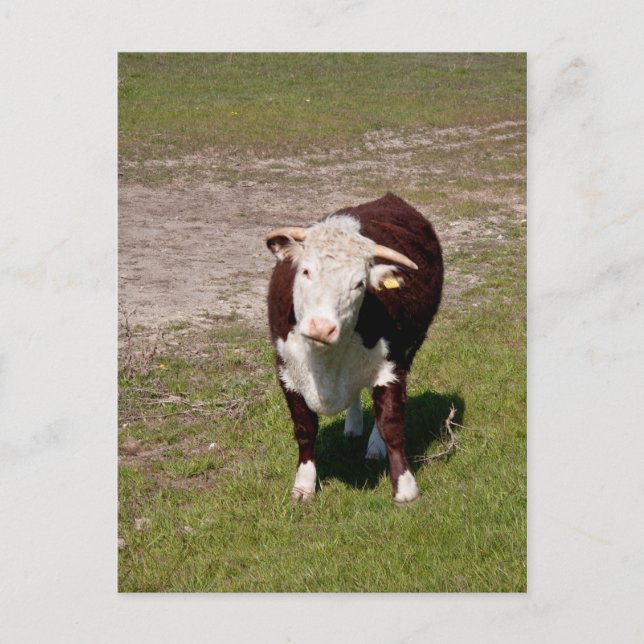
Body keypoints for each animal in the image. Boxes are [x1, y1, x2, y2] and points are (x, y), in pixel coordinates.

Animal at [265, 192, 443, 504]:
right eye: (306, 271)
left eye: (359, 284)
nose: (321, 327)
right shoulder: (286, 371)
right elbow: (304, 429)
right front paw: (303, 486)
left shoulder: (391, 367)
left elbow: (391, 426)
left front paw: (405, 488)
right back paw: (353, 425)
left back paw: (374, 446)